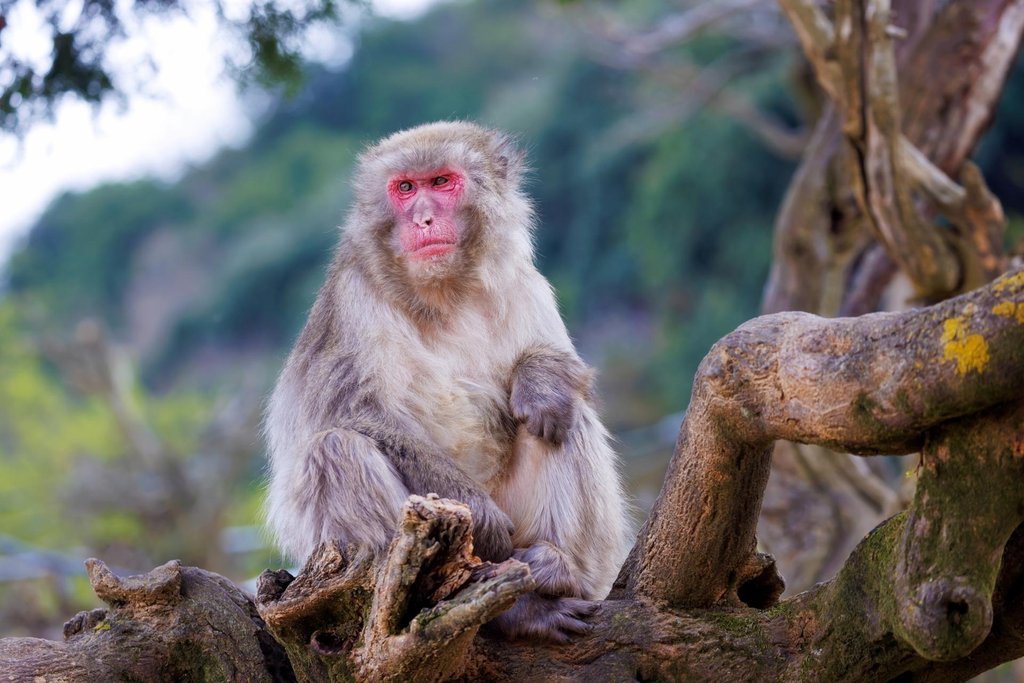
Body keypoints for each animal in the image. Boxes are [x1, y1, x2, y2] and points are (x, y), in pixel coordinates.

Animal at [263, 121, 629, 641]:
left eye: (440, 182)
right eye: (404, 188)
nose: (422, 219)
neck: (443, 292)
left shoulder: (525, 282)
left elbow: (565, 368)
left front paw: (539, 380)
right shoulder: (352, 300)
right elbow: (350, 414)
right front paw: (483, 517)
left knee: (564, 417)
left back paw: (556, 569)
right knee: (335, 450)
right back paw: (512, 609)